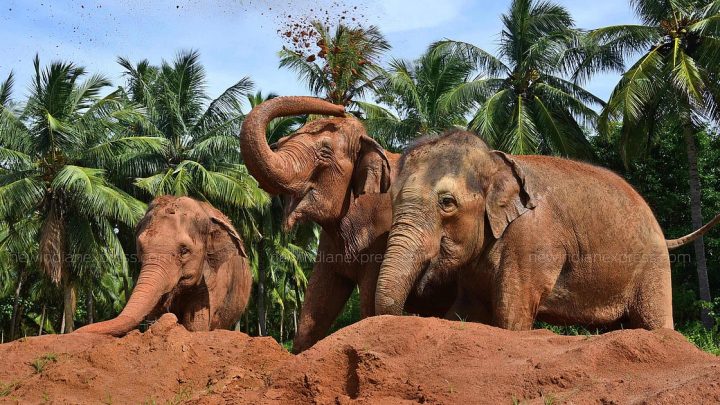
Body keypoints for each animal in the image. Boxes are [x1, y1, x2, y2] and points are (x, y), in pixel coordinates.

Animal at [240, 96, 457, 352]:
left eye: (325, 152)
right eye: (280, 143)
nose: (341, 108)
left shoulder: (383, 232)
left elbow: (369, 296)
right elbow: (318, 298)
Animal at [375, 129, 720, 331]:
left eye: (447, 203)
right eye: (391, 200)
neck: (497, 159)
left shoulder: (531, 240)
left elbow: (511, 317)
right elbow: (465, 312)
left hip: (653, 266)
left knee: (654, 322)